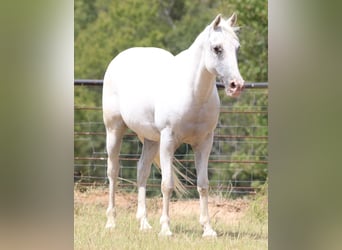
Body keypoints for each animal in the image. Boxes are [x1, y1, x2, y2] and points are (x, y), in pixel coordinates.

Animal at [101, 13, 243, 236]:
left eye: (237, 48)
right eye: (217, 48)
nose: (236, 85)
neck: (192, 92)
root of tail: (118, 59)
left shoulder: (204, 143)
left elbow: (203, 184)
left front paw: (208, 229)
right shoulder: (168, 140)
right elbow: (166, 184)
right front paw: (166, 229)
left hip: (151, 140)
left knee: (142, 171)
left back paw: (144, 223)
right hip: (114, 130)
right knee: (113, 172)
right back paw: (111, 222)